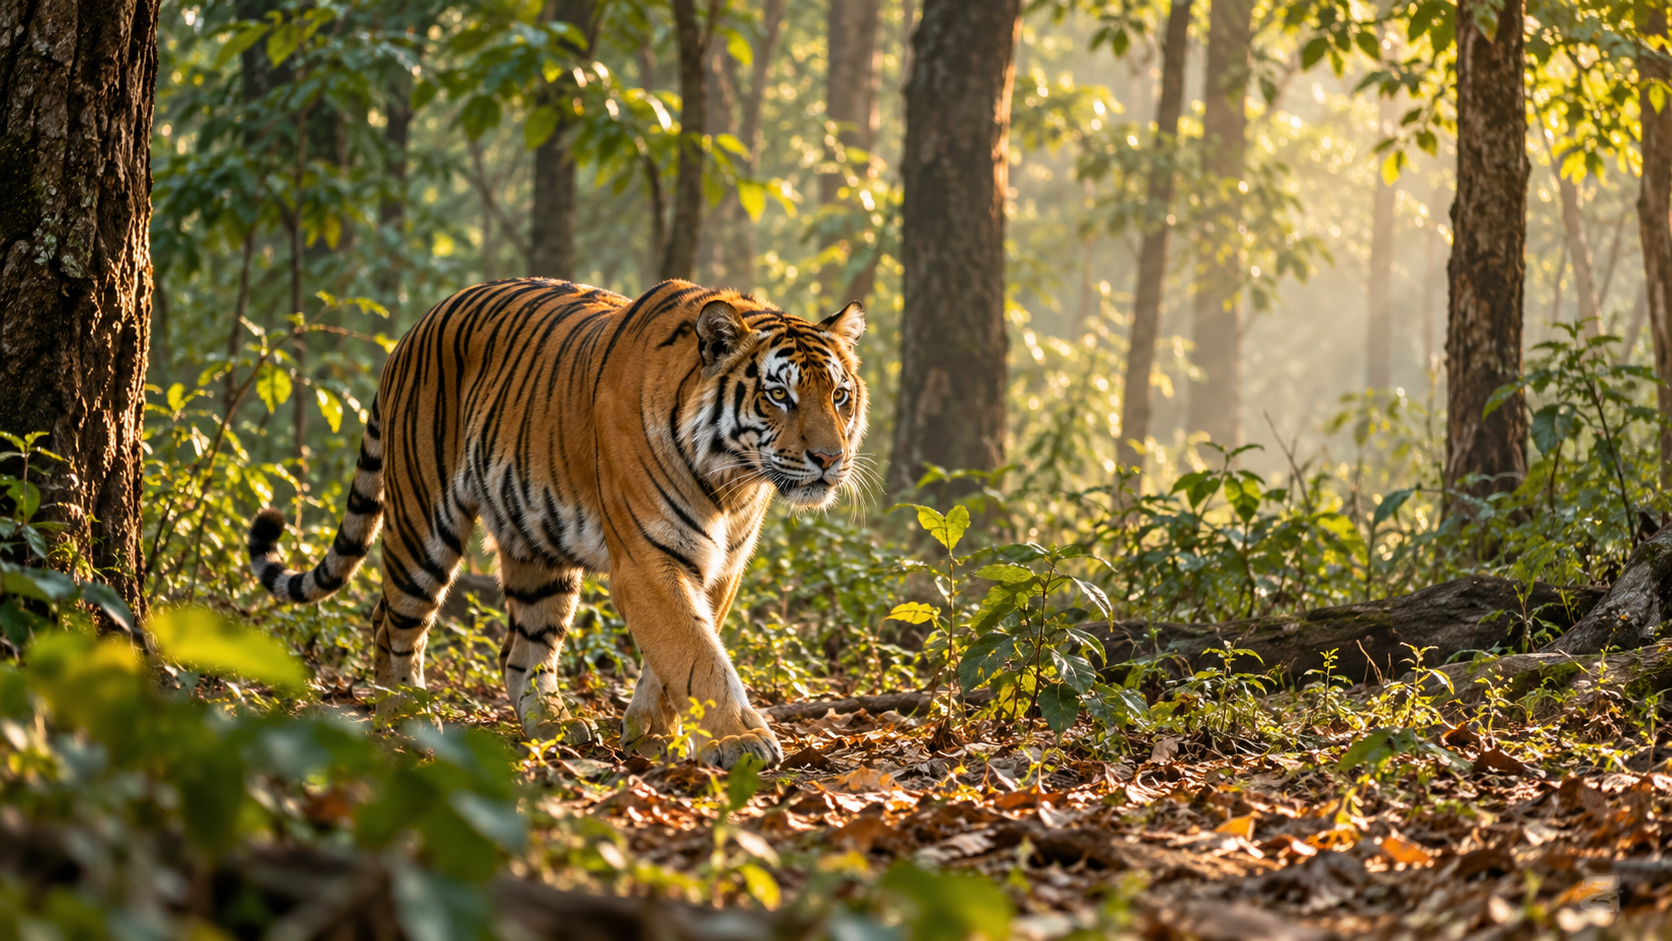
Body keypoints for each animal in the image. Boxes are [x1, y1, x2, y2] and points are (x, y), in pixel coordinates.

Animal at [245, 278, 868, 768]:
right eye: (778, 395)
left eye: (839, 395)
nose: (829, 459)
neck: (732, 479)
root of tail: (410, 333)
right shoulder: (648, 558)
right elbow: (698, 656)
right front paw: (741, 740)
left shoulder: (722, 565)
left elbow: (678, 654)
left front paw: (651, 735)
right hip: (422, 526)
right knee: (391, 620)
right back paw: (403, 719)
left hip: (535, 545)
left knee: (521, 651)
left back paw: (553, 725)